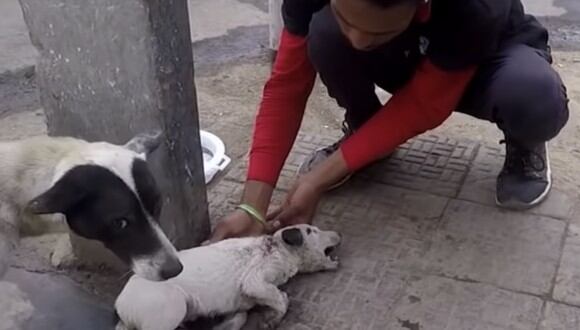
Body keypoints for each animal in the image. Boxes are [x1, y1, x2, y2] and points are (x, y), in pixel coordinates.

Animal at [115, 224, 342, 330]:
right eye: (312, 230)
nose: (339, 234)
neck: (278, 246)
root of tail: (120, 303)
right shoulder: (255, 280)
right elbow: (280, 298)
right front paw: (274, 317)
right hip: (171, 308)